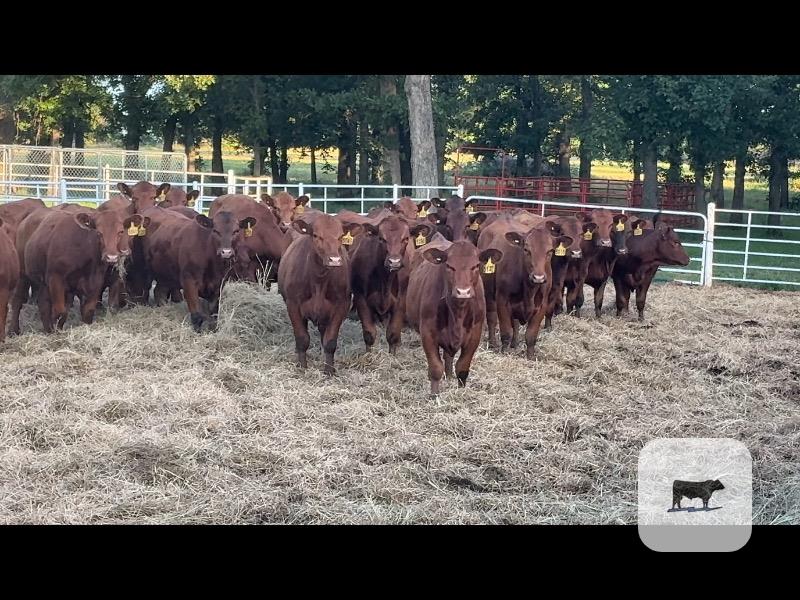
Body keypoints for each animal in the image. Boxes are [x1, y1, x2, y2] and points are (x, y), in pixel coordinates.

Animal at [14, 208, 145, 332]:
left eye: (121, 231)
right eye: (98, 232)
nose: (111, 257)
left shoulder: (96, 282)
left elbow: (88, 310)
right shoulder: (56, 278)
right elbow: (60, 312)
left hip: (44, 283)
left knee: (43, 303)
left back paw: (47, 330)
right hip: (23, 274)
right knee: (18, 301)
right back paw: (15, 330)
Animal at [277, 213, 363, 375]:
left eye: (340, 236)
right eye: (316, 235)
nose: (334, 260)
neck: (319, 280)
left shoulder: (342, 305)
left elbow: (330, 341)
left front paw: (329, 370)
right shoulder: (292, 304)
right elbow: (302, 338)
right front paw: (302, 367)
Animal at [349, 213, 432, 353]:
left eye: (405, 239)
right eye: (381, 239)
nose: (394, 262)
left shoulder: (400, 302)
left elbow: (393, 333)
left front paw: (393, 354)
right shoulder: (360, 299)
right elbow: (369, 333)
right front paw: (368, 355)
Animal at [405, 238, 502, 395]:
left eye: (476, 266)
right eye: (449, 266)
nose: (463, 292)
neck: (458, 312)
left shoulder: (475, 334)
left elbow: (462, 367)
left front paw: (461, 391)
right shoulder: (427, 333)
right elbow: (435, 368)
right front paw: (434, 394)